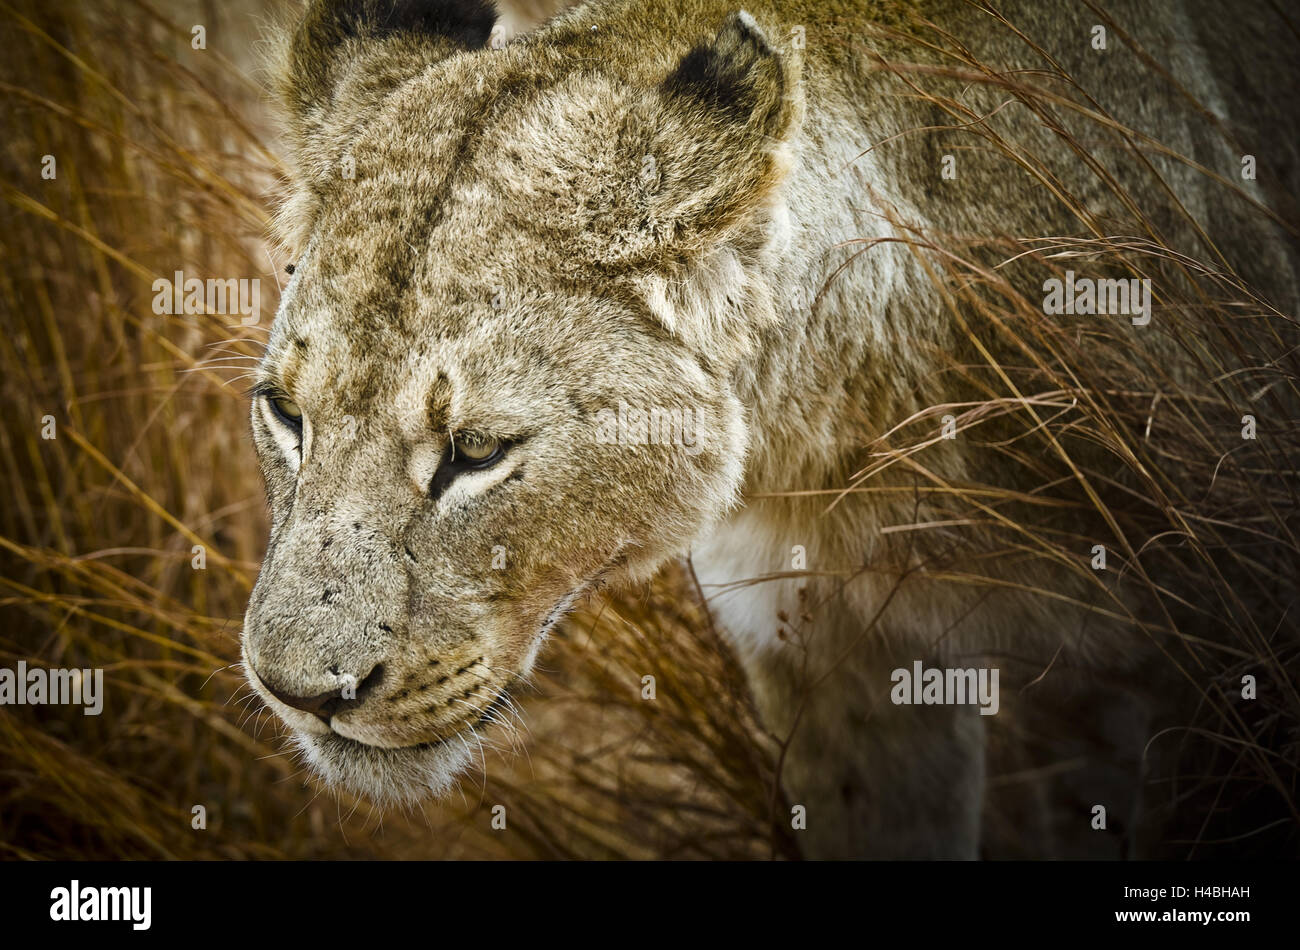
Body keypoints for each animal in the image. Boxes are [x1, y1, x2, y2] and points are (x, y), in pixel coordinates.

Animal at [241, 0, 1289, 862]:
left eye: (477, 453)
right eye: (286, 414)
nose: (301, 697)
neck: (860, 447)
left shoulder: (1229, 648)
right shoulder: (826, 661)